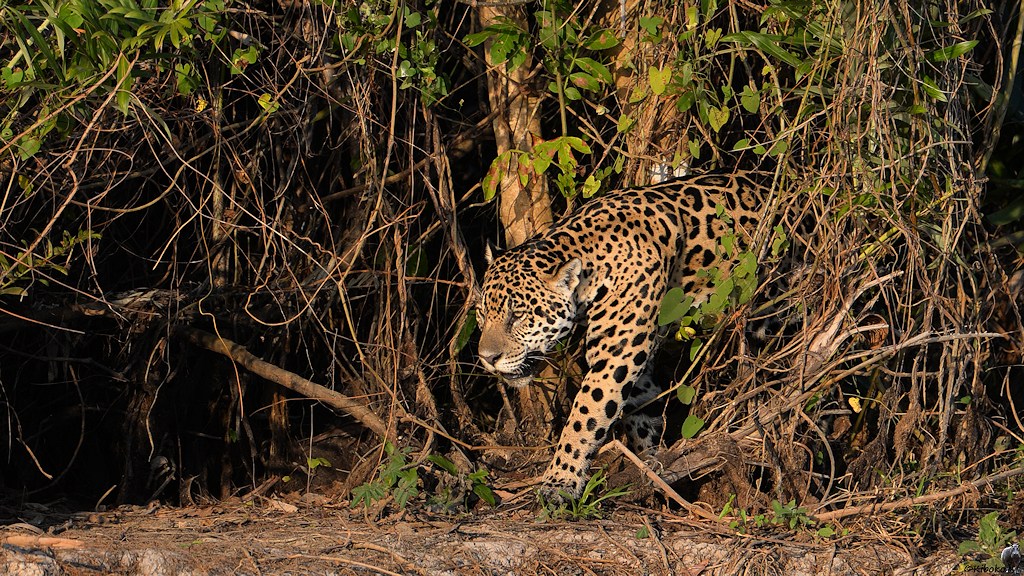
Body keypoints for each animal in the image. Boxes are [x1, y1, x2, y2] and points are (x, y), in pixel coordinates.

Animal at [477, 171, 770, 502]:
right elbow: (641, 412)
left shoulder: (614, 358)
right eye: (482, 314)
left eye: (518, 316)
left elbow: (583, 417)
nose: (487, 358)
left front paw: (560, 481)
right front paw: (649, 468)